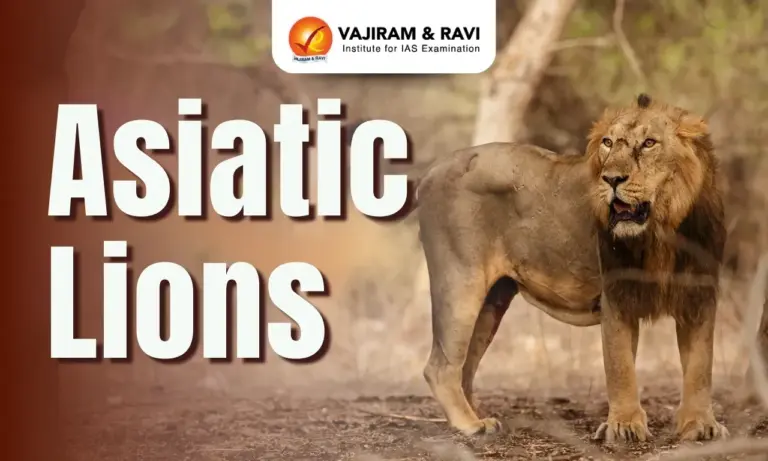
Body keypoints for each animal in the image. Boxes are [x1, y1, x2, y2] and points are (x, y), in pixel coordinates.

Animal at [412, 94, 728, 442]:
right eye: (607, 142)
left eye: (649, 143)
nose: (612, 179)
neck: (662, 231)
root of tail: (432, 170)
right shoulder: (616, 294)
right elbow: (620, 366)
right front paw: (625, 425)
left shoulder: (699, 295)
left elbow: (700, 366)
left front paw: (700, 425)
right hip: (461, 283)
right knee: (440, 367)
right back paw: (470, 424)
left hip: (493, 300)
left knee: (465, 367)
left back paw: (479, 416)